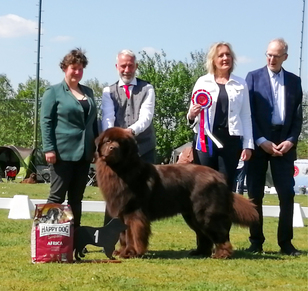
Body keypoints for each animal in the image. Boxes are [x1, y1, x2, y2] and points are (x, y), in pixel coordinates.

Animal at [95, 128, 258, 260]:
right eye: (108, 141)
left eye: (121, 143)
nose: (112, 148)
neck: (120, 171)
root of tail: (219, 177)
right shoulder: (121, 211)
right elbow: (123, 235)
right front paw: (121, 251)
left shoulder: (133, 212)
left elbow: (132, 234)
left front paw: (130, 252)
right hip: (192, 215)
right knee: (203, 235)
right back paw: (199, 252)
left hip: (205, 213)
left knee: (219, 232)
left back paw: (222, 254)